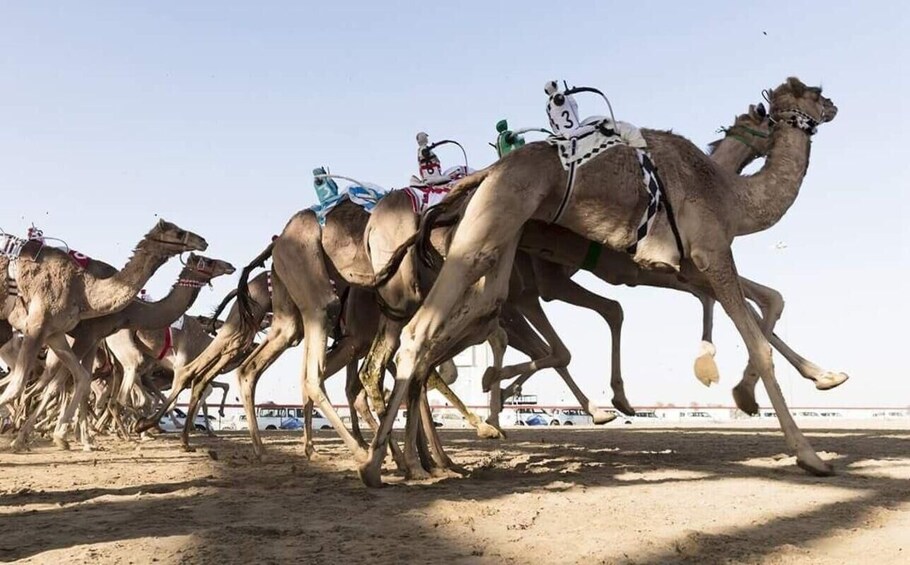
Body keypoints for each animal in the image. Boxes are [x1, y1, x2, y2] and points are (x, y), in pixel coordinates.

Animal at [362, 78, 840, 484]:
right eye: (816, 93)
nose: (834, 104)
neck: (730, 194)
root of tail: (487, 174)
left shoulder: (681, 267)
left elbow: (764, 302)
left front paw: (811, 378)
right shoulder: (704, 255)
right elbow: (758, 337)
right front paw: (808, 453)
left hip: (501, 243)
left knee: (469, 322)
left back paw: (425, 453)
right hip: (484, 241)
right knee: (420, 337)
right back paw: (389, 462)